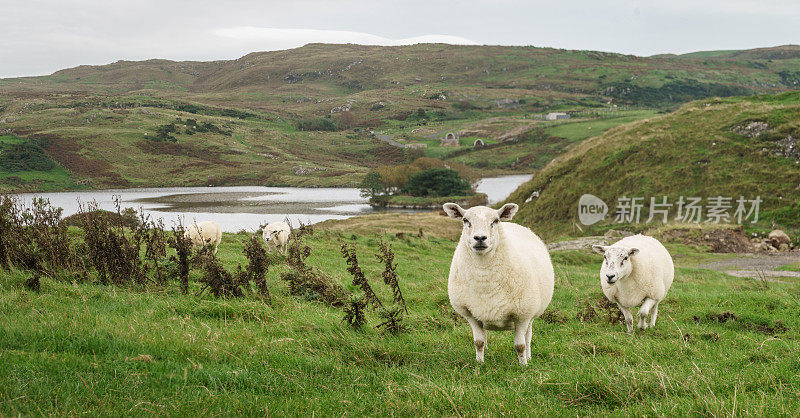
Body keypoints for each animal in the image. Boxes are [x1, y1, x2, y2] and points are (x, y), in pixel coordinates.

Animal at [444, 202, 556, 366]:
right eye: (465, 220)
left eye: (495, 221)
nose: (480, 238)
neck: (484, 276)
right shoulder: (471, 314)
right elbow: (478, 342)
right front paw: (480, 363)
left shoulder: (522, 315)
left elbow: (520, 345)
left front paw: (523, 366)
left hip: (531, 313)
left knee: (528, 337)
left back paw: (528, 357)